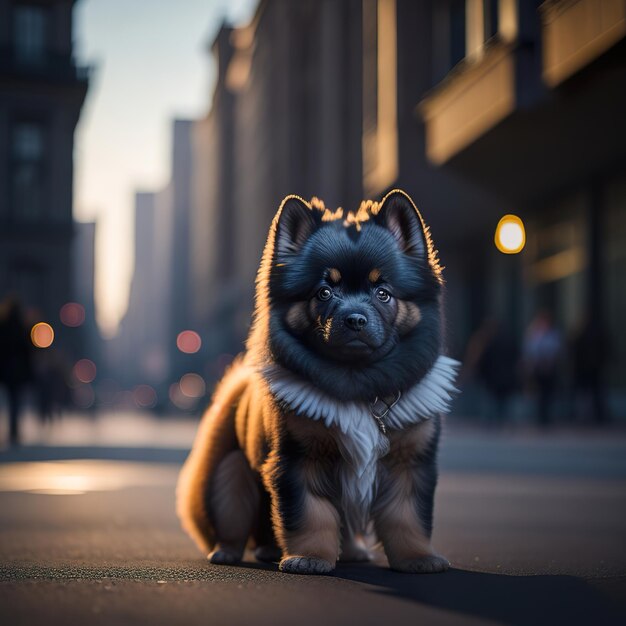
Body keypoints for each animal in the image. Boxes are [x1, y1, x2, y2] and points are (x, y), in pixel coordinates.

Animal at [176, 188, 458, 572]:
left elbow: (408, 517)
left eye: (382, 293)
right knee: (234, 520)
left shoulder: (409, 464)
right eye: (324, 292)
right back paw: (229, 552)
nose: (355, 319)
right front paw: (309, 557)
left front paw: (417, 558)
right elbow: (311, 516)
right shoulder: (299, 461)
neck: (359, 385)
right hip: (231, 473)